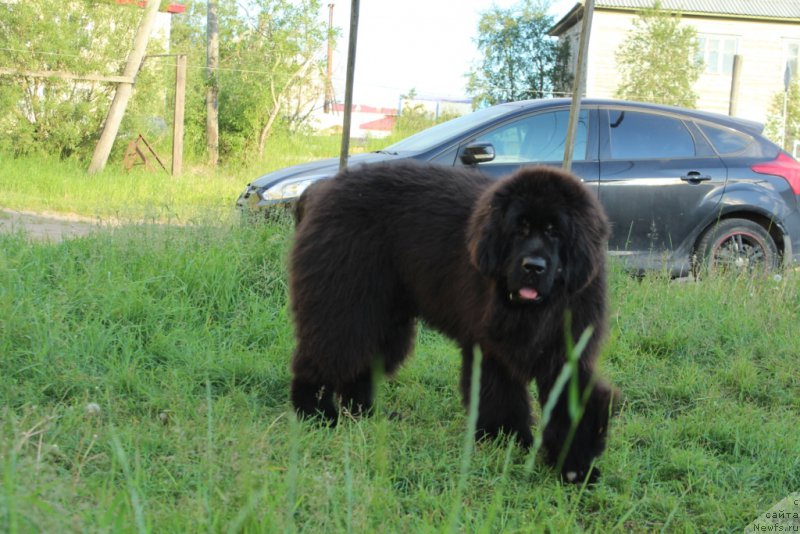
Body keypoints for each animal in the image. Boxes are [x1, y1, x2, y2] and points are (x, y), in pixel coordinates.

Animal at [290, 161, 616, 484]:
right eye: (519, 229)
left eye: (554, 232)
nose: (533, 267)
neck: (535, 310)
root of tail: (324, 187)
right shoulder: (490, 349)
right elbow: (499, 394)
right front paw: (506, 439)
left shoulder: (565, 350)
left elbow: (572, 404)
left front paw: (574, 467)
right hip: (344, 303)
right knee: (327, 353)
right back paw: (316, 413)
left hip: (384, 320)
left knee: (362, 365)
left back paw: (367, 414)